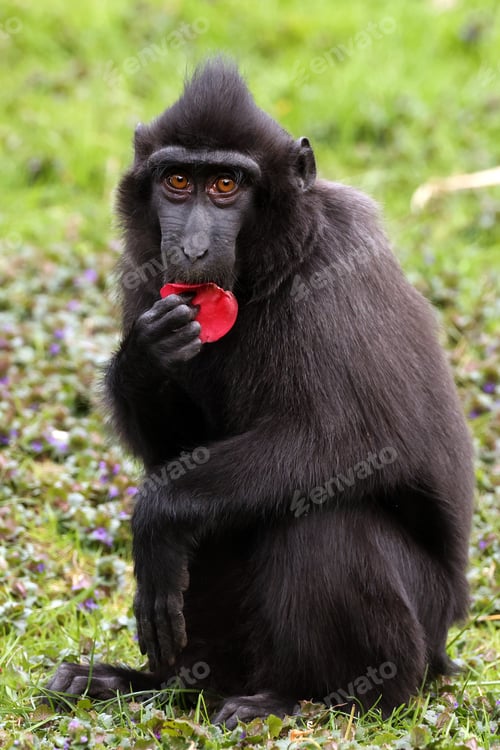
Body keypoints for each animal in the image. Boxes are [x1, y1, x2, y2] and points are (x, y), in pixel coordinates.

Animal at [46, 58, 474, 729]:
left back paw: (305, 699)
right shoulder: (146, 276)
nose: (192, 249)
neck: (264, 272)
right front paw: (143, 358)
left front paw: (156, 514)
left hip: (419, 627)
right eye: (177, 180)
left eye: (226, 184)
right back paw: (148, 684)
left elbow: (356, 441)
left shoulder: (337, 267)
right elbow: (176, 452)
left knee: (325, 517)